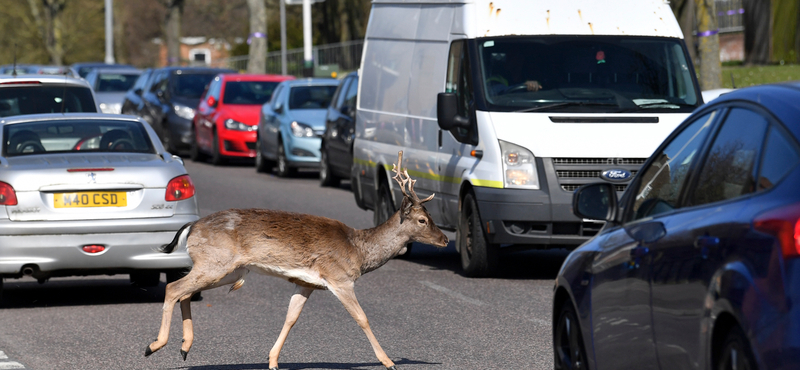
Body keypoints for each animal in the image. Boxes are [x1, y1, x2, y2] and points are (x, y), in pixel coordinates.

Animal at [144, 151, 450, 370]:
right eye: (422, 220)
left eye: (431, 217)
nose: (446, 239)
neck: (359, 250)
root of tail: (191, 227)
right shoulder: (339, 278)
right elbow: (362, 318)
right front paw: (388, 362)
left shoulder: (305, 282)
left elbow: (291, 318)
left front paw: (272, 360)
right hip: (215, 263)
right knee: (173, 288)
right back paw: (154, 345)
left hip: (227, 270)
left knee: (184, 292)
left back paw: (184, 348)